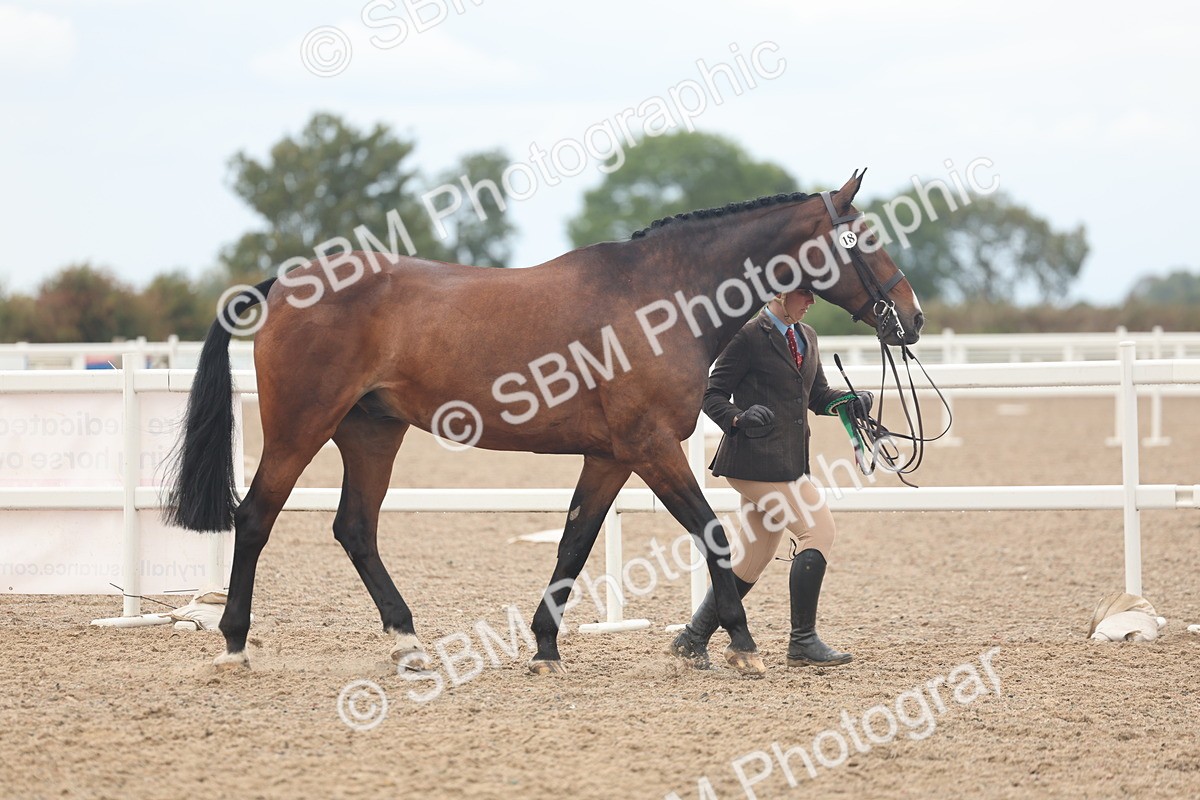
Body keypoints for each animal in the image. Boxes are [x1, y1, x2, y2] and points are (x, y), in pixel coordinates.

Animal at [164, 170, 923, 677]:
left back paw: (408, 641)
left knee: (354, 528)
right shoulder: (652, 449)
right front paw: (740, 646)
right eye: (865, 239)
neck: (659, 298)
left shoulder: (612, 457)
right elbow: (710, 535)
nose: (911, 318)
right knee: (255, 517)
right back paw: (234, 644)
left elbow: (574, 545)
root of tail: (287, 284)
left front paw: (546, 645)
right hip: (301, 428)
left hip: (372, 432)